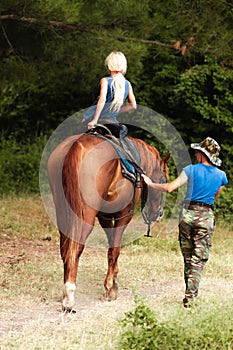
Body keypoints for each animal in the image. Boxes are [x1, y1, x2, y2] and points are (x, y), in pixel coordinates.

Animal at [46, 133, 169, 310]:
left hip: (63, 211)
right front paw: (110, 287)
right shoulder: (124, 215)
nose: (159, 214)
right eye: (164, 178)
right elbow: (115, 249)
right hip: (85, 216)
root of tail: (76, 146)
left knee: (65, 248)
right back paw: (69, 295)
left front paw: (114, 280)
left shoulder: (104, 216)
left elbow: (111, 246)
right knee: (76, 247)